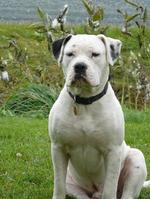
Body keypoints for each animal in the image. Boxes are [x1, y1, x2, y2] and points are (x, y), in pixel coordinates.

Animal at [48, 34, 149, 199]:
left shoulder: (113, 151)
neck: (85, 101)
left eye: (95, 54)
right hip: (73, 184)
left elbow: (109, 188)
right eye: (70, 54)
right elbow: (59, 185)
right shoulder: (59, 148)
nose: (80, 66)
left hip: (136, 159)